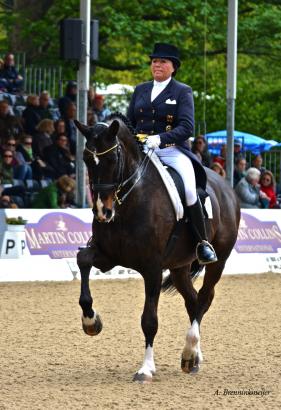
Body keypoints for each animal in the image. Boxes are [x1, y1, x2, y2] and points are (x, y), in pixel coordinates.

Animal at [74, 113, 238, 382]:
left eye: (113, 158)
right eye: (87, 160)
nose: (102, 212)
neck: (129, 200)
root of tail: (226, 188)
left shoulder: (152, 268)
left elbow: (149, 320)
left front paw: (146, 369)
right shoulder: (107, 256)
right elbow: (83, 260)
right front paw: (91, 322)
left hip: (219, 261)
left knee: (204, 298)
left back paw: (189, 352)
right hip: (180, 267)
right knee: (193, 301)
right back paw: (194, 357)